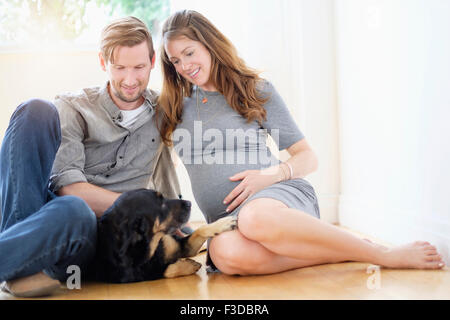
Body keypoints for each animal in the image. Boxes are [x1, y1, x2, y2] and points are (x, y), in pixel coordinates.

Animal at [93, 189, 237, 284]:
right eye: (161, 204)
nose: (189, 203)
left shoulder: (181, 245)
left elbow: (200, 229)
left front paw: (223, 223)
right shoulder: (139, 274)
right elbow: (167, 270)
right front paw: (189, 265)